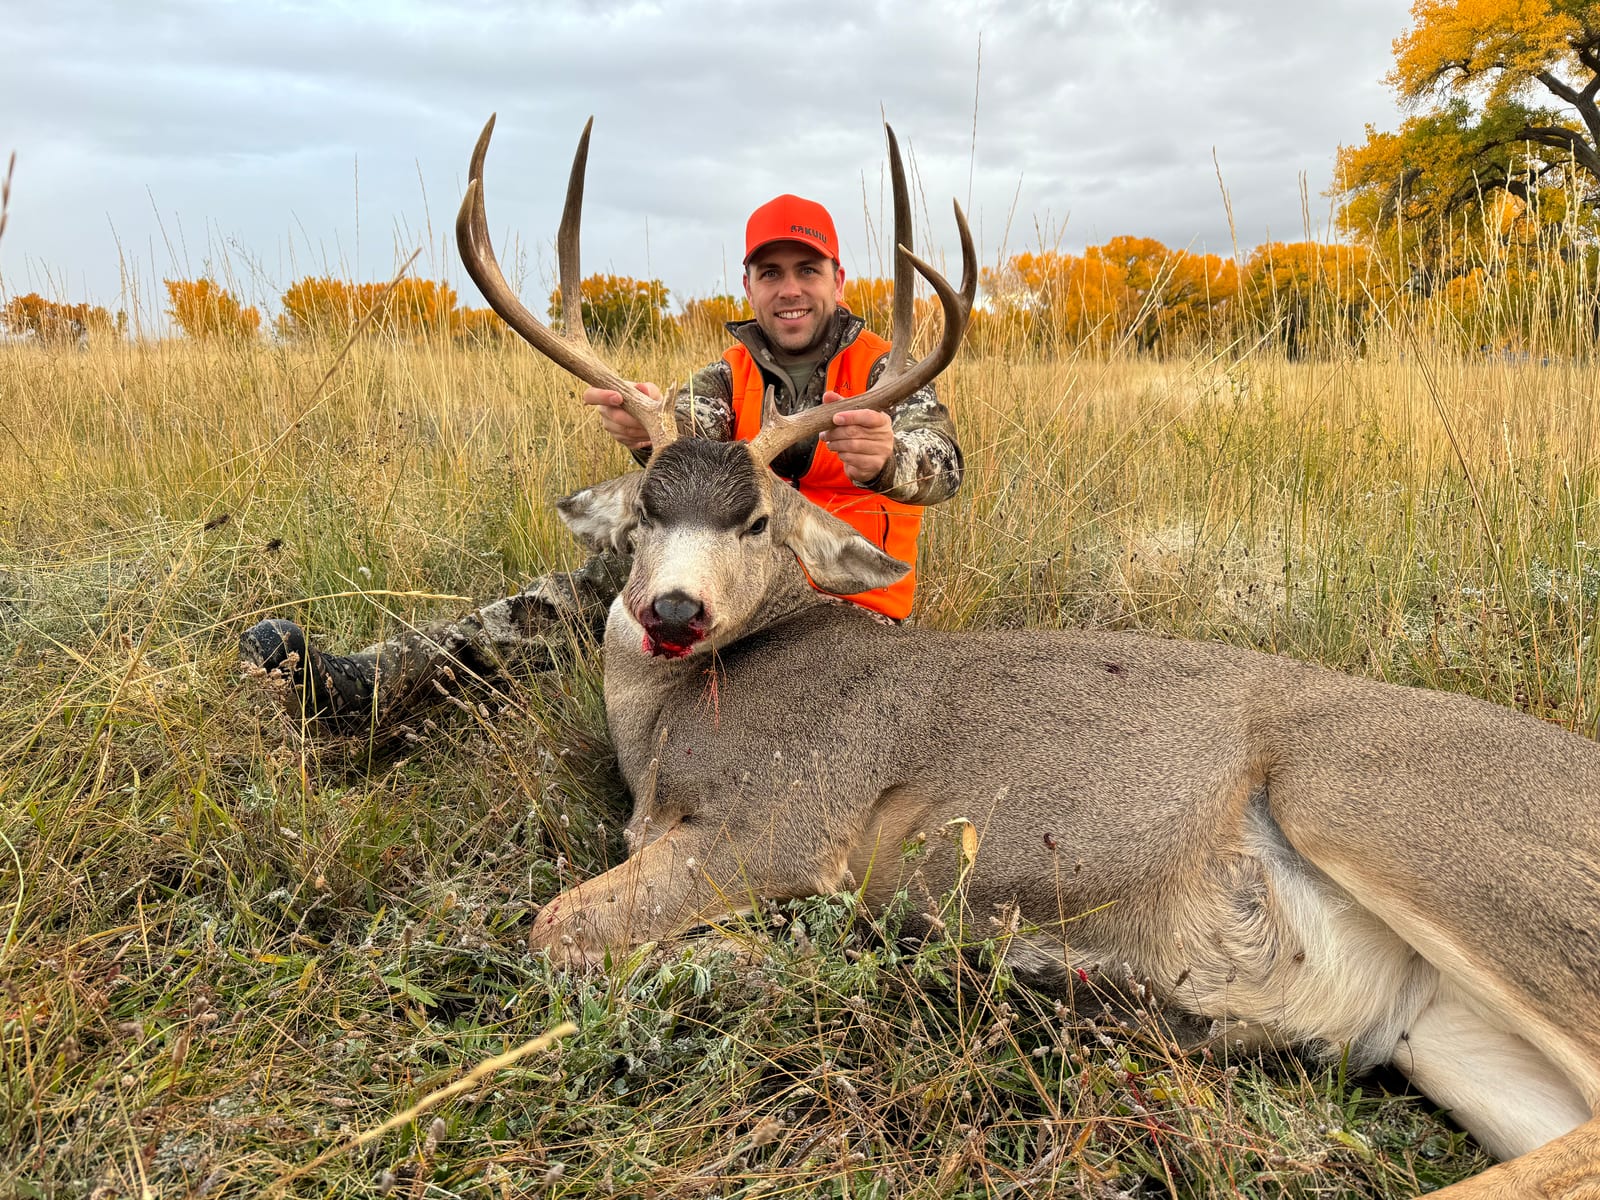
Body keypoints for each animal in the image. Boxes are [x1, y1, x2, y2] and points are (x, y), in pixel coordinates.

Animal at [454, 114, 1600, 1198]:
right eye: (648, 508)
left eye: (757, 522)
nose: (674, 610)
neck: (666, 725)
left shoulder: (785, 820)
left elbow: (556, 926)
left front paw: (749, 954)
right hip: (1440, 1029)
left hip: (1387, 814)